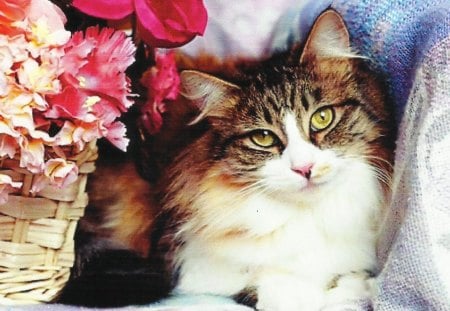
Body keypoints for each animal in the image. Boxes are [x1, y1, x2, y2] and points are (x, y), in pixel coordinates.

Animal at [59, 8, 394, 310]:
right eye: (263, 137)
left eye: (322, 118)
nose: (304, 168)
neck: (306, 217)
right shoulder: (183, 262)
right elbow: (268, 281)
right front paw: (304, 295)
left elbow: (350, 283)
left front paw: (351, 289)